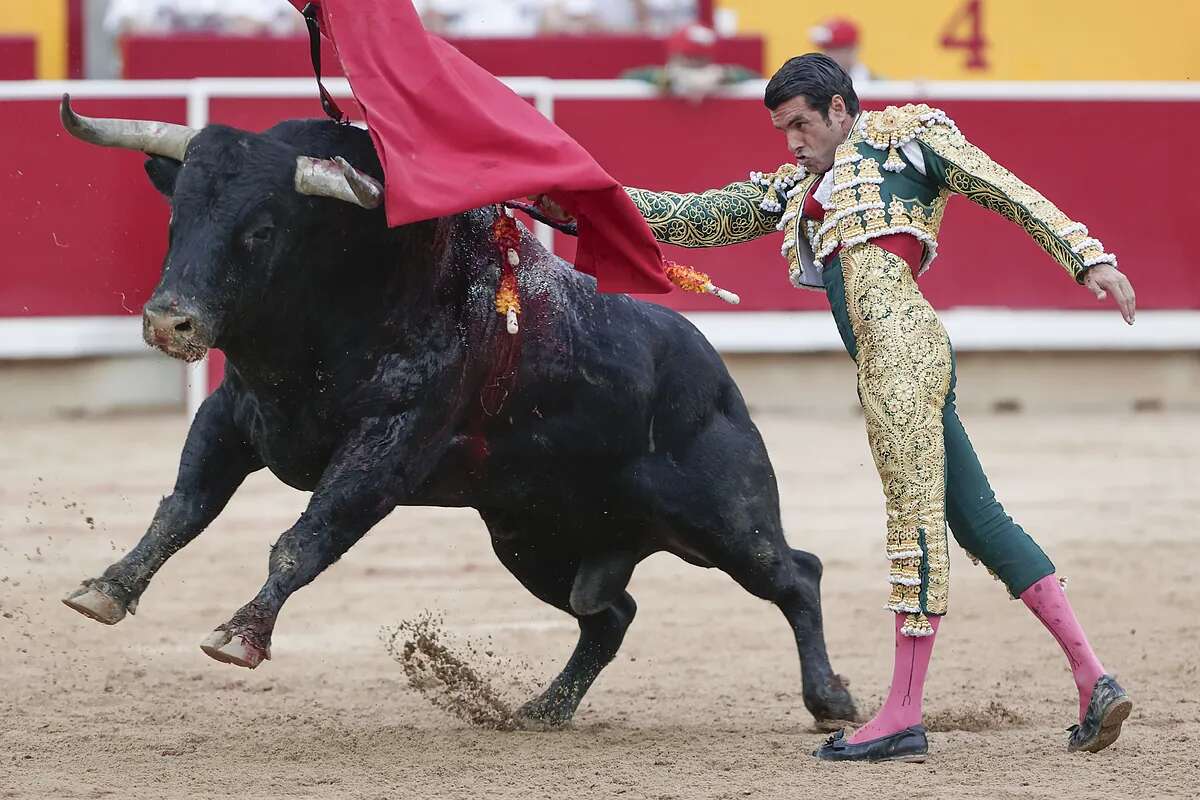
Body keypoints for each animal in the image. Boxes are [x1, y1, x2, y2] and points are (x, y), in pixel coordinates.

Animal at [60, 98, 859, 724]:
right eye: (178, 218)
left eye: (260, 230)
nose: (171, 321)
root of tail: (714, 373)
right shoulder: (232, 419)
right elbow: (182, 510)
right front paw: (106, 589)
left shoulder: (385, 449)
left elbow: (301, 539)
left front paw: (240, 635)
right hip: (531, 541)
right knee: (610, 616)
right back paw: (544, 709)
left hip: (723, 517)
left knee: (796, 574)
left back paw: (830, 703)